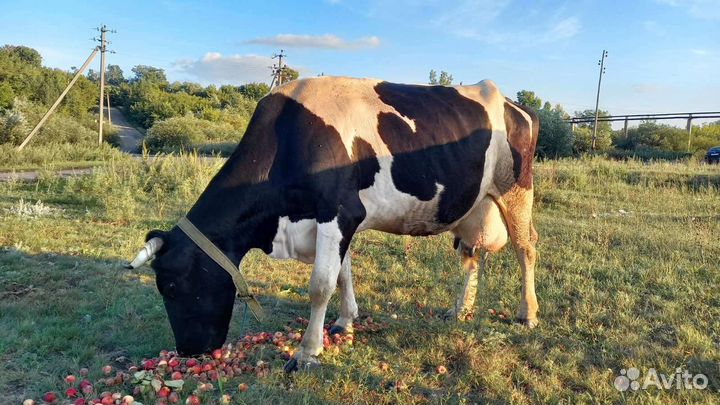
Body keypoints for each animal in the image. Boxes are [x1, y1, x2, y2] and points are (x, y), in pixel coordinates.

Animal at [127, 77, 539, 372]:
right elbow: (343, 274)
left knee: (526, 247)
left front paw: (307, 352)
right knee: (471, 253)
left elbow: (321, 285)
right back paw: (460, 309)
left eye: (170, 286)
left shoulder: (339, 211)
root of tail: (511, 101)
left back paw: (528, 313)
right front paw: (344, 323)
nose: (187, 352)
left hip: (516, 189)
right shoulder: (339, 221)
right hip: (474, 205)